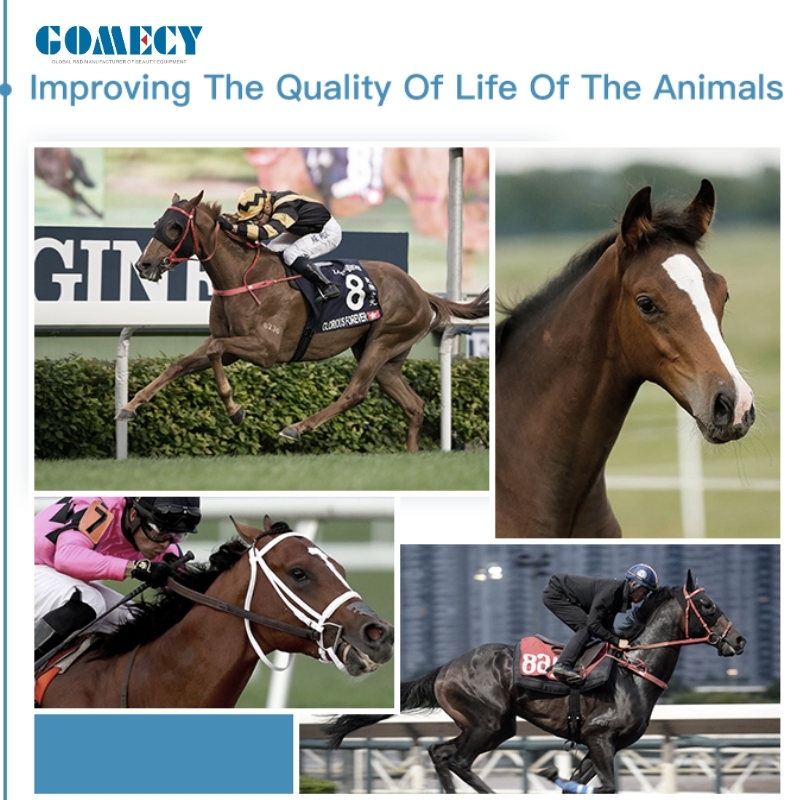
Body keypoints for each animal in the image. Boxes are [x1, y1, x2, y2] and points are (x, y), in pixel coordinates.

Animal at [117, 191, 490, 452]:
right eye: (157, 223)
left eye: (175, 227)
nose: (143, 265)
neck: (244, 277)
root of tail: (420, 290)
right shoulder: (232, 345)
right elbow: (180, 364)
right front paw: (129, 406)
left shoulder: (264, 350)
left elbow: (215, 351)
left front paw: (234, 409)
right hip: (386, 358)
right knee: (413, 405)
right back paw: (411, 456)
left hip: (383, 341)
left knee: (355, 393)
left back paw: (295, 427)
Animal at [324, 570, 744, 794]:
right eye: (707, 606)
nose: (739, 640)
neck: (634, 671)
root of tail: (444, 668)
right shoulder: (599, 736)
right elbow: (608, 786)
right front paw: (552, 775)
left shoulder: (602, 745)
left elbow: (583, 780)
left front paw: (556, 776)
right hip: (487, 720)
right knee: (456, 759)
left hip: (495, 725)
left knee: (440, 753)